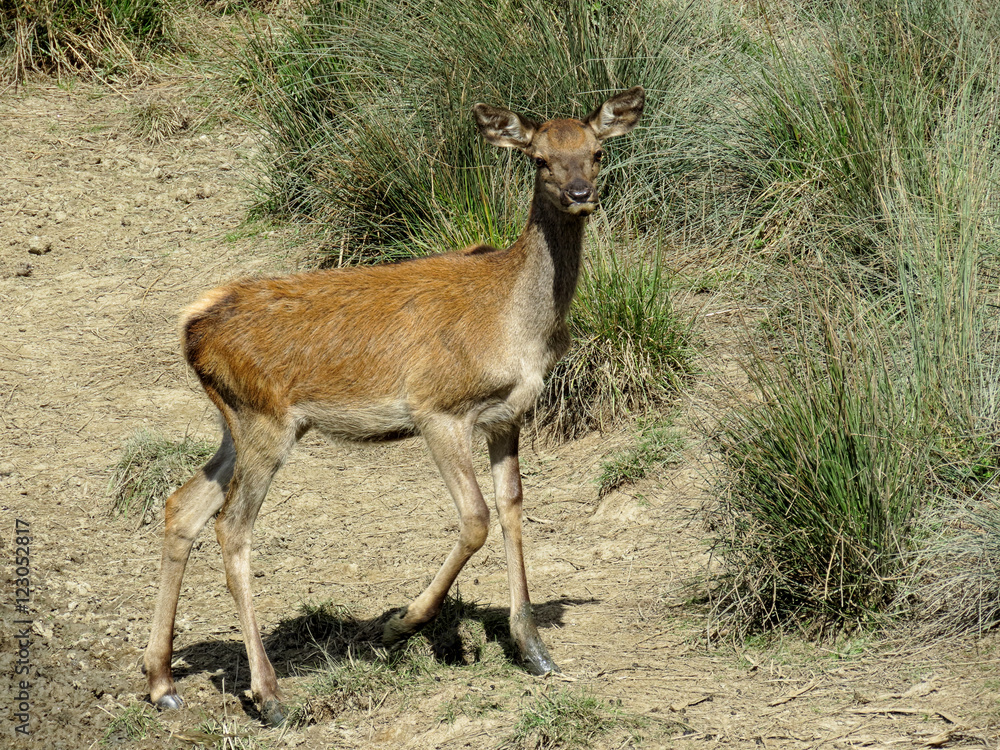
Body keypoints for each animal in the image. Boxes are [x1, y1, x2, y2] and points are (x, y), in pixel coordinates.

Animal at [142, 86, 645, 726]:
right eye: (539, 160)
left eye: (597, 152)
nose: (581, 194)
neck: (518, 326)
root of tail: (192, 325)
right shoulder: (438, 408)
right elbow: (475, 518)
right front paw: (398, 624)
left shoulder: (509, 415)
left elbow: (511, 508)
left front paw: (534, 650)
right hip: (265, 419)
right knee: (232, 527)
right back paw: (271, 696)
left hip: (239, 420)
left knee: (182, 505)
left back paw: (161, 680)